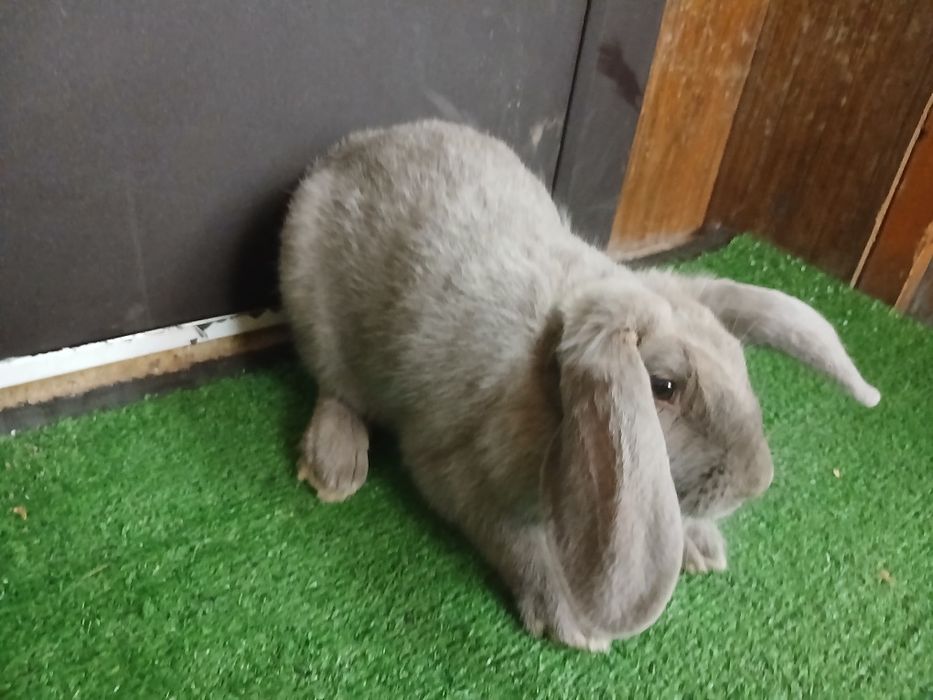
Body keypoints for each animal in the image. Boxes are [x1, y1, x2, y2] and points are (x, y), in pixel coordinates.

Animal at [278, 120, 879, 651]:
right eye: (663, 387)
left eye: (738, 360)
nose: (756, 482)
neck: (544, 381)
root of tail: (346, 151)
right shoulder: (461, 474)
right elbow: (519, 543)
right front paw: (573, 624)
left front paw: (701, 546)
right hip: (316, 316)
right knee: (336, 389)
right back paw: (334, 465)